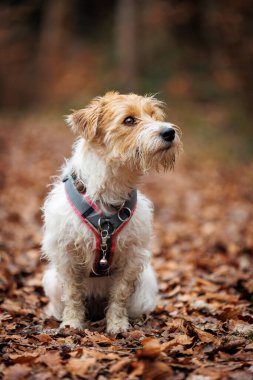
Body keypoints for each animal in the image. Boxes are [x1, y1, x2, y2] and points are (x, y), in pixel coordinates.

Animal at [42, 91, 182, 332]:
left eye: (154, 116)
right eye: (129, 120)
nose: (169, 132)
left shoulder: (132, 257)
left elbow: (120, 295)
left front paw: (117, 324)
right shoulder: (66, 255)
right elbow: (72, 294)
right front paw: (72, 323)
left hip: (145, 286)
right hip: (51, 281)